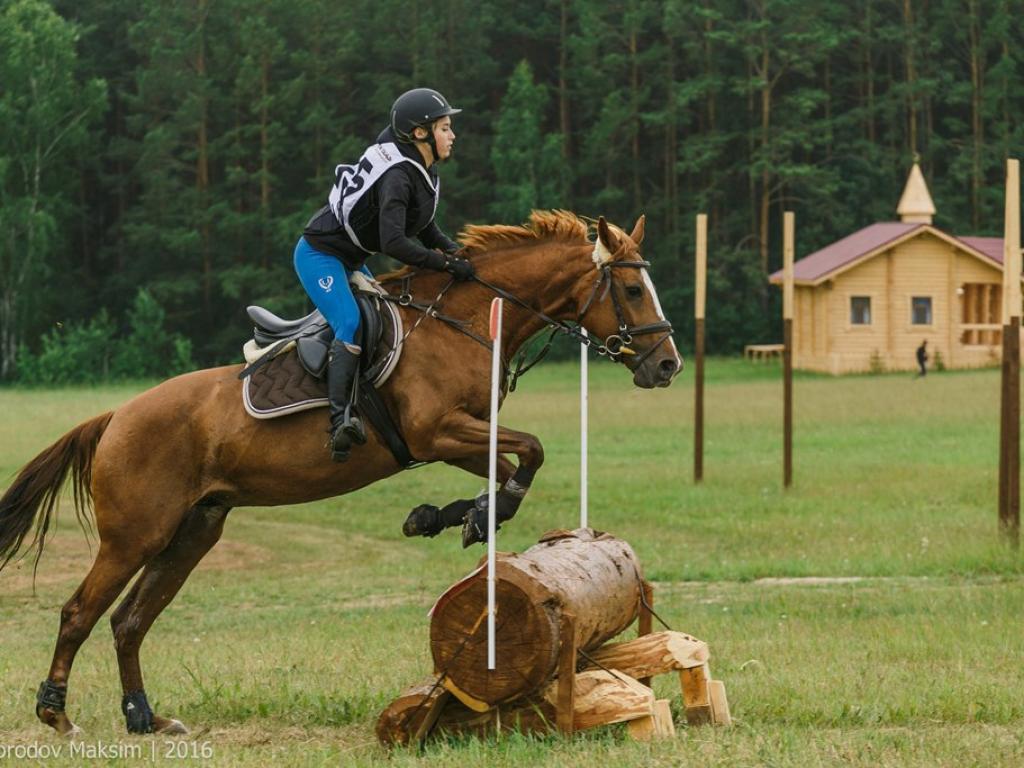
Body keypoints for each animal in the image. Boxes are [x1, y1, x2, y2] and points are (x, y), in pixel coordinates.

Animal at [0, 210, 682, 737]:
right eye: (632, 291)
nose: (668, 365)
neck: (460, 324)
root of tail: (115, 415)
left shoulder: (452, 438)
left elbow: (518, 462)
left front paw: (451, 517)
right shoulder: (437, 431)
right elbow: (532, 452)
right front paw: (468, 517)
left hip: (194, 531)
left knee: (129, 620)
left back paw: (145, 717)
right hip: (135, 535)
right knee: (79, 613)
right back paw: (57, 716)